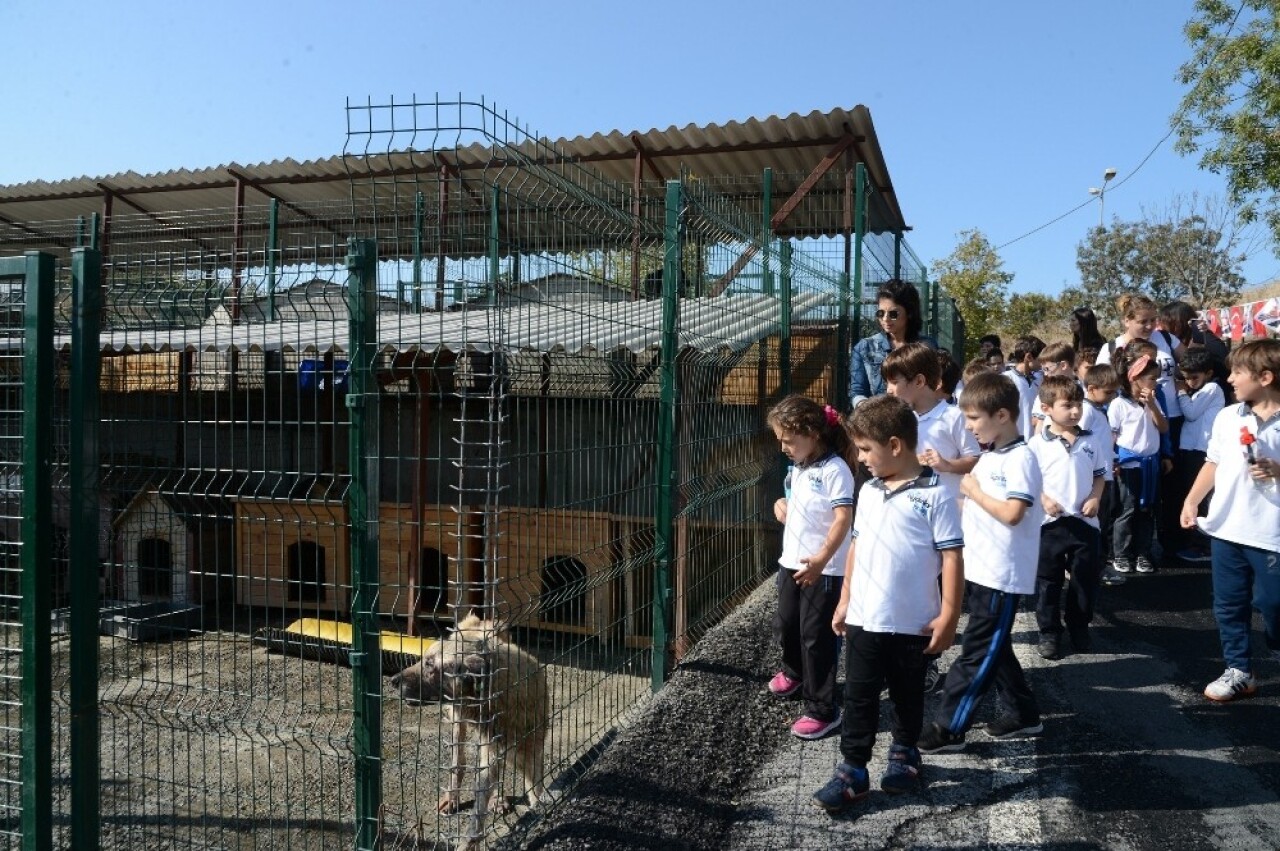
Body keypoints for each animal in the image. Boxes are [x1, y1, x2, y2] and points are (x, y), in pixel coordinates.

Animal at [389, 614, 550, 844]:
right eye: (425, 660)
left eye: (430, 664)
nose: (393, 681)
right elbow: (479, 804)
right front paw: (470, 840)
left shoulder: (532, 747)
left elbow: (534, 785)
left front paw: (539, 806)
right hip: (459, 724)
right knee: (459, 763)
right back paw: (454, 797)